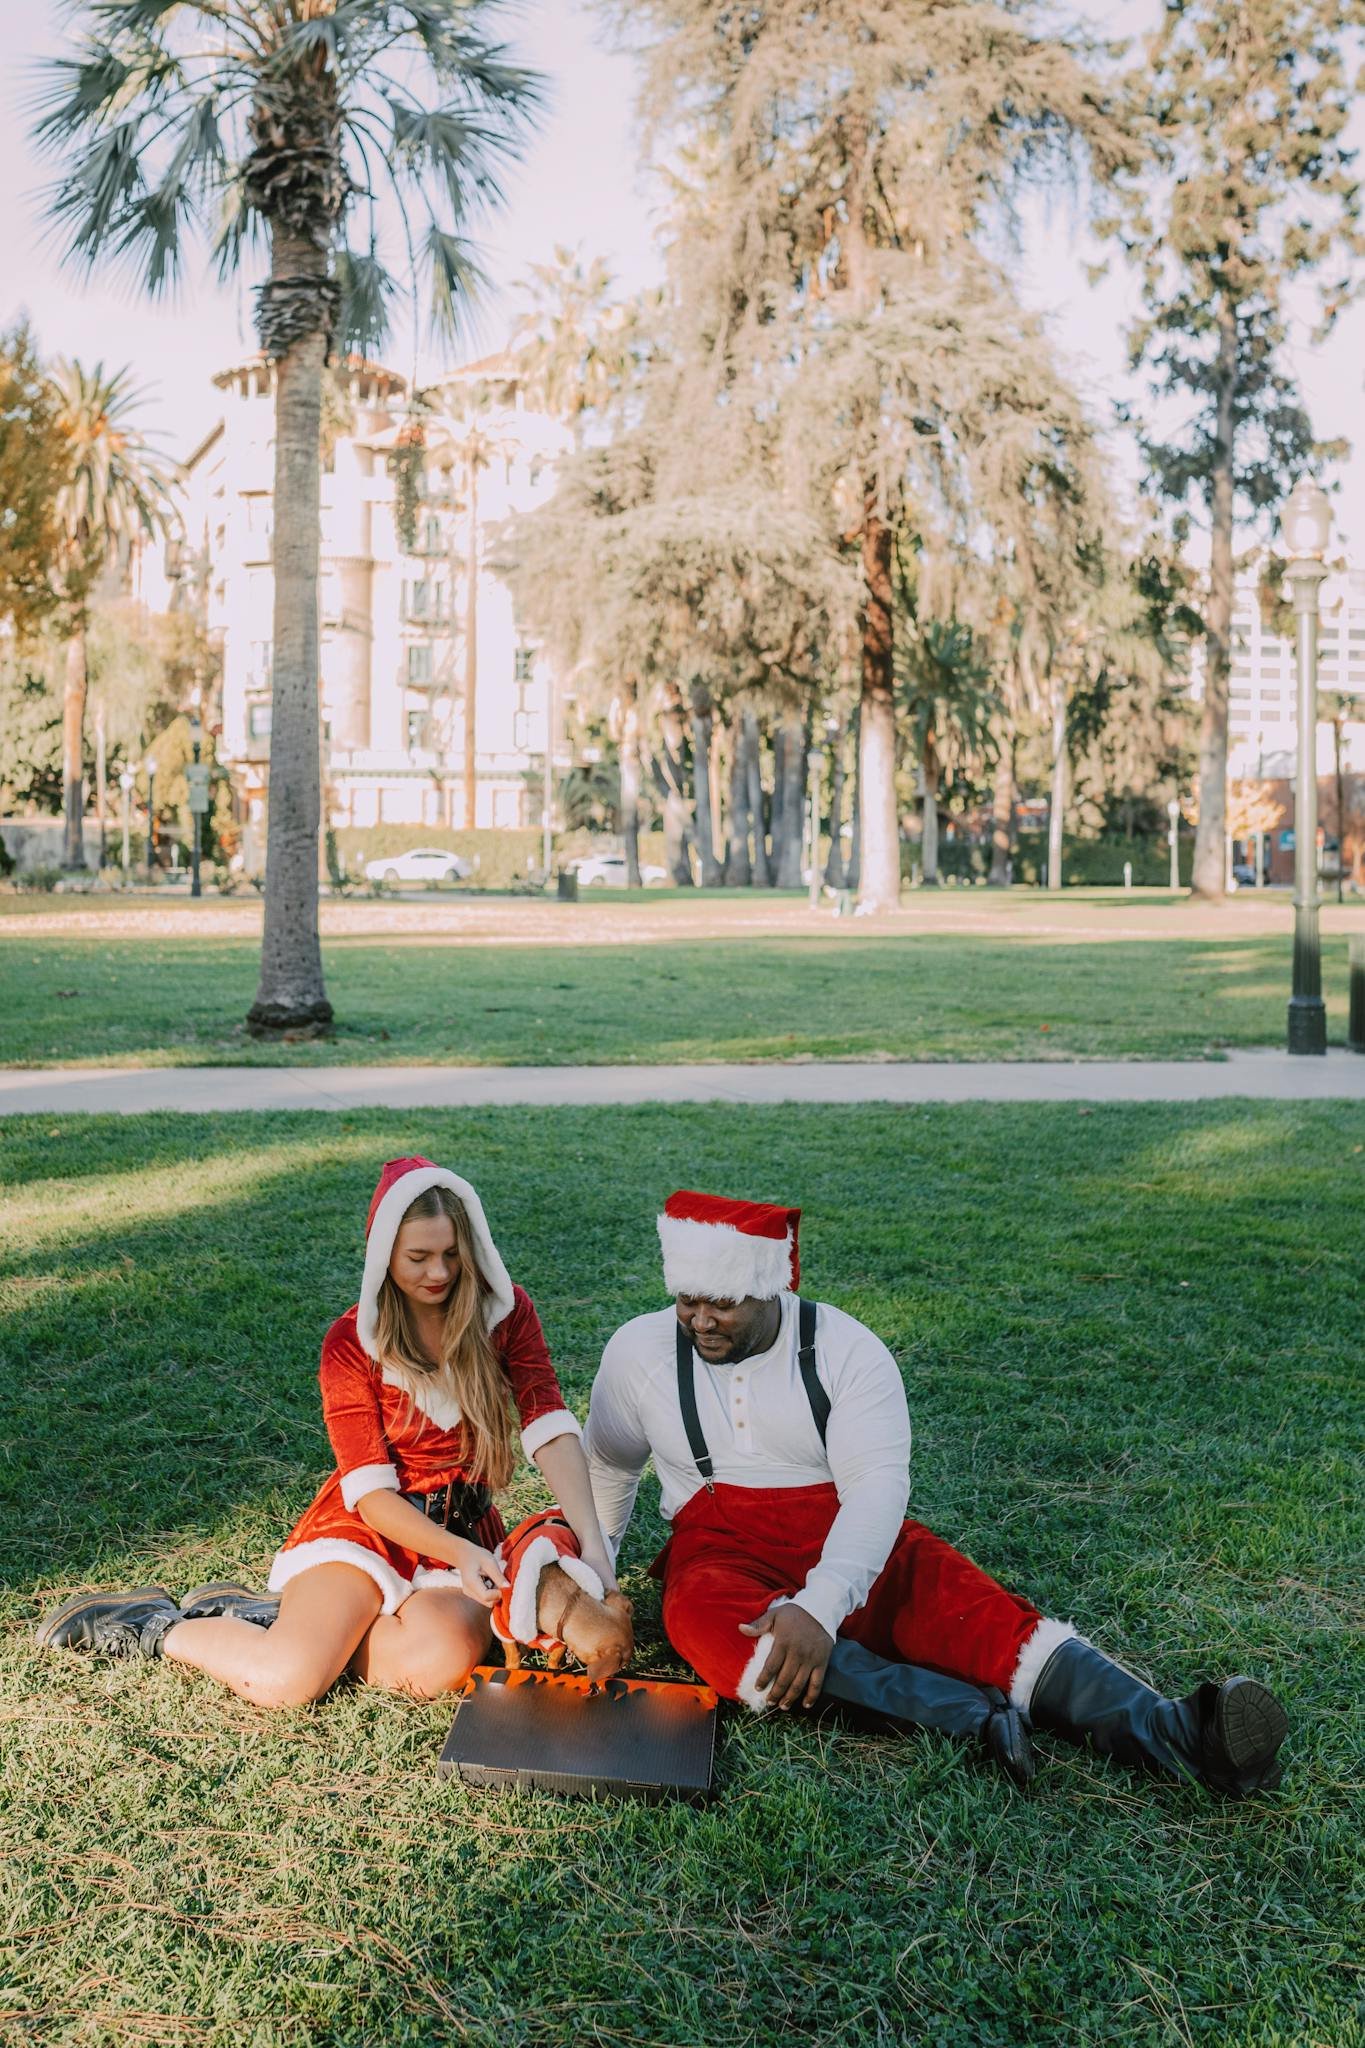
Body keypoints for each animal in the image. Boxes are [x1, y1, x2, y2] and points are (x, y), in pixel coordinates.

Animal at [493, 1515, 638, 1687]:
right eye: (622, 1665)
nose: (615, 1676)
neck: (571, 1602)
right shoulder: (502, 1624)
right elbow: (512, 1653)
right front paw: (512, 1669)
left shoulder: (559, 1635)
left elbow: (555, 1656)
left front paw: (554, 1670)